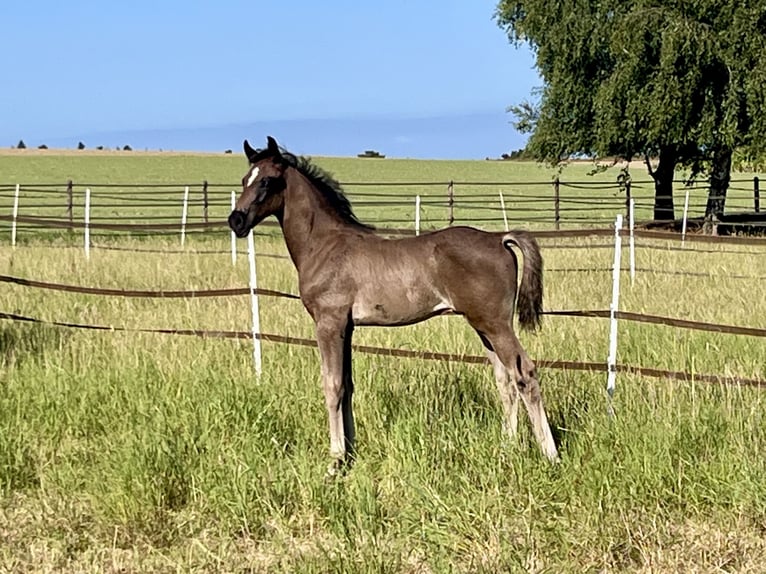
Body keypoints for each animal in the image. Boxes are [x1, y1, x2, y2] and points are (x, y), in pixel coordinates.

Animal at [228, 136, 559, 473]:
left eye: (268, 180)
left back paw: (550, 454)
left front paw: (335, 460)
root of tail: (498, 238)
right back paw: (507, 447)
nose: (235, 221)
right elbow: (348, 385)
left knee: (525, 374)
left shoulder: (329, 323)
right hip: (483, 326)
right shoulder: (347, 328)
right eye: (244, 180)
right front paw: (350, 453)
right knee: (505, 381)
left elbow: (332, 386)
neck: (323, 244)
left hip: (495, 324)